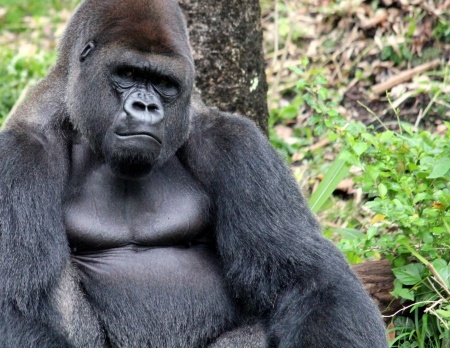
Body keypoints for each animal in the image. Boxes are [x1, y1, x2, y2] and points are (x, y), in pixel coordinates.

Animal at [0, 0, 386, 348]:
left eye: (164, 83)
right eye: (128, 74)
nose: (146, 106)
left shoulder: (236, 143)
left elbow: (306, 277)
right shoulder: (18, 154)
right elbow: (13, 302)